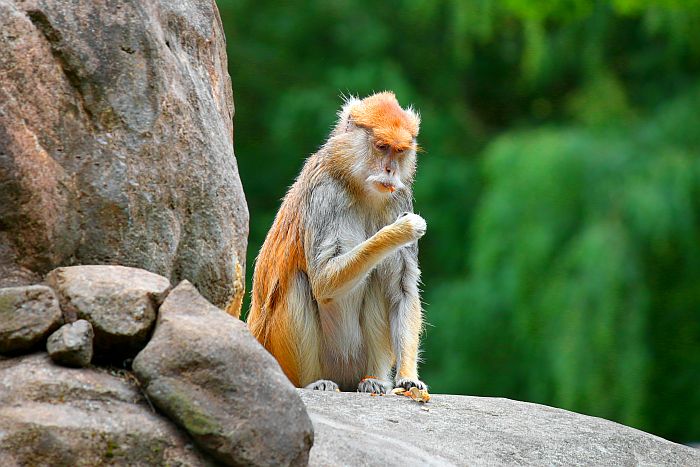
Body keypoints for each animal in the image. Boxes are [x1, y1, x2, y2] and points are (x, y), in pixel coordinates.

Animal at [246, 91, 426, 394]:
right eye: (381, 147)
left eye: (400, 151)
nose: (390, 170)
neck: (358, 185)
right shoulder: (325, 195)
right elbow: (323, 281)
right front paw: (400, 231)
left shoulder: (399, 198)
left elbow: (401, 289)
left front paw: (408, 377)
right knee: (298, 283)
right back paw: (314, 382)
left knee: (377, 282)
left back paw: (374, 380)